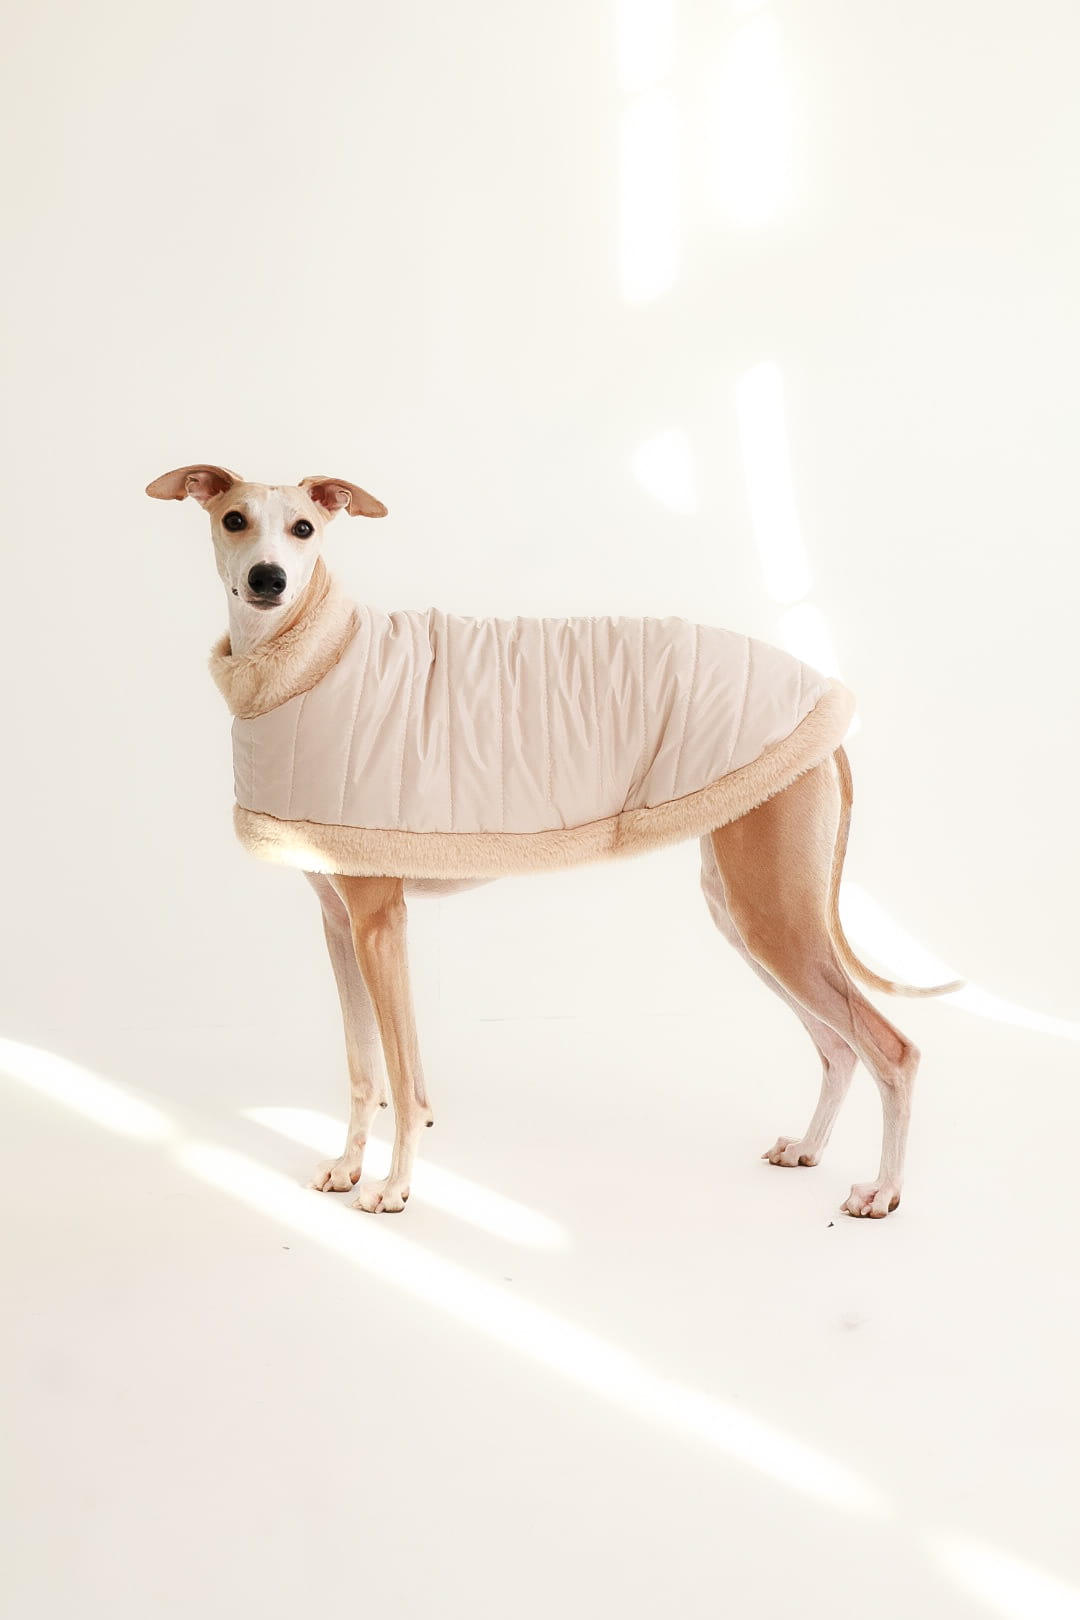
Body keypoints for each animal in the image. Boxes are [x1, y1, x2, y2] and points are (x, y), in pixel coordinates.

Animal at [147, 464, 958, 1220]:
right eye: (234, 519)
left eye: (305, 528)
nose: (269, 580)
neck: (315, 658)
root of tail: (823, 698)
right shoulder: (338, 922)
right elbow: (363, 1065)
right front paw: (347, 1168)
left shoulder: (380, 920)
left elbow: (402, 1081)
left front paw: (395, 1188)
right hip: (745, 910)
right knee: (838, 1046)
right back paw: (809, 1148)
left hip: (775, 913)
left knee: (891, 1049)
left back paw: (884, 1190)